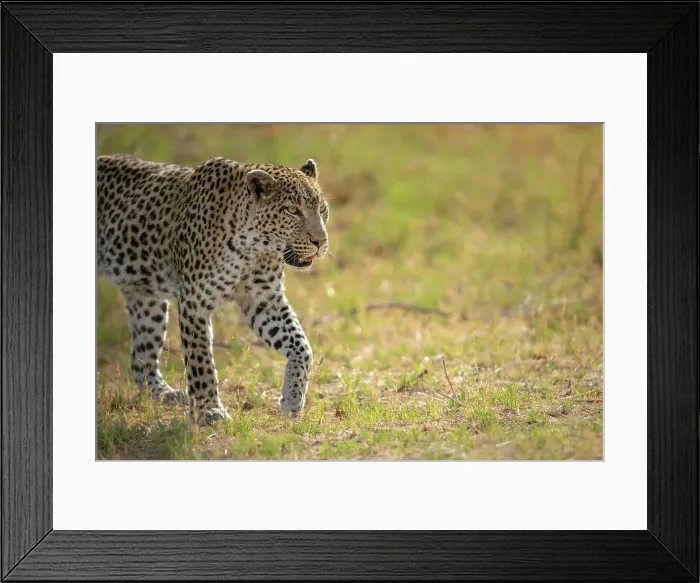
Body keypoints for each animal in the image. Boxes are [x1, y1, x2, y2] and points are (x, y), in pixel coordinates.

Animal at [97, 153, 330, 425]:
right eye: (293, 211)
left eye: (322, 210)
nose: (321, 242)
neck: (253, 248)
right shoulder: (194, 301)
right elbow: (200, 359)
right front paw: (209, 410)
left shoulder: (263, 298)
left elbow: (301, 345)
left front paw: (293, 399)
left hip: (147, 299)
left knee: (140, 360)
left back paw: (164, 394)